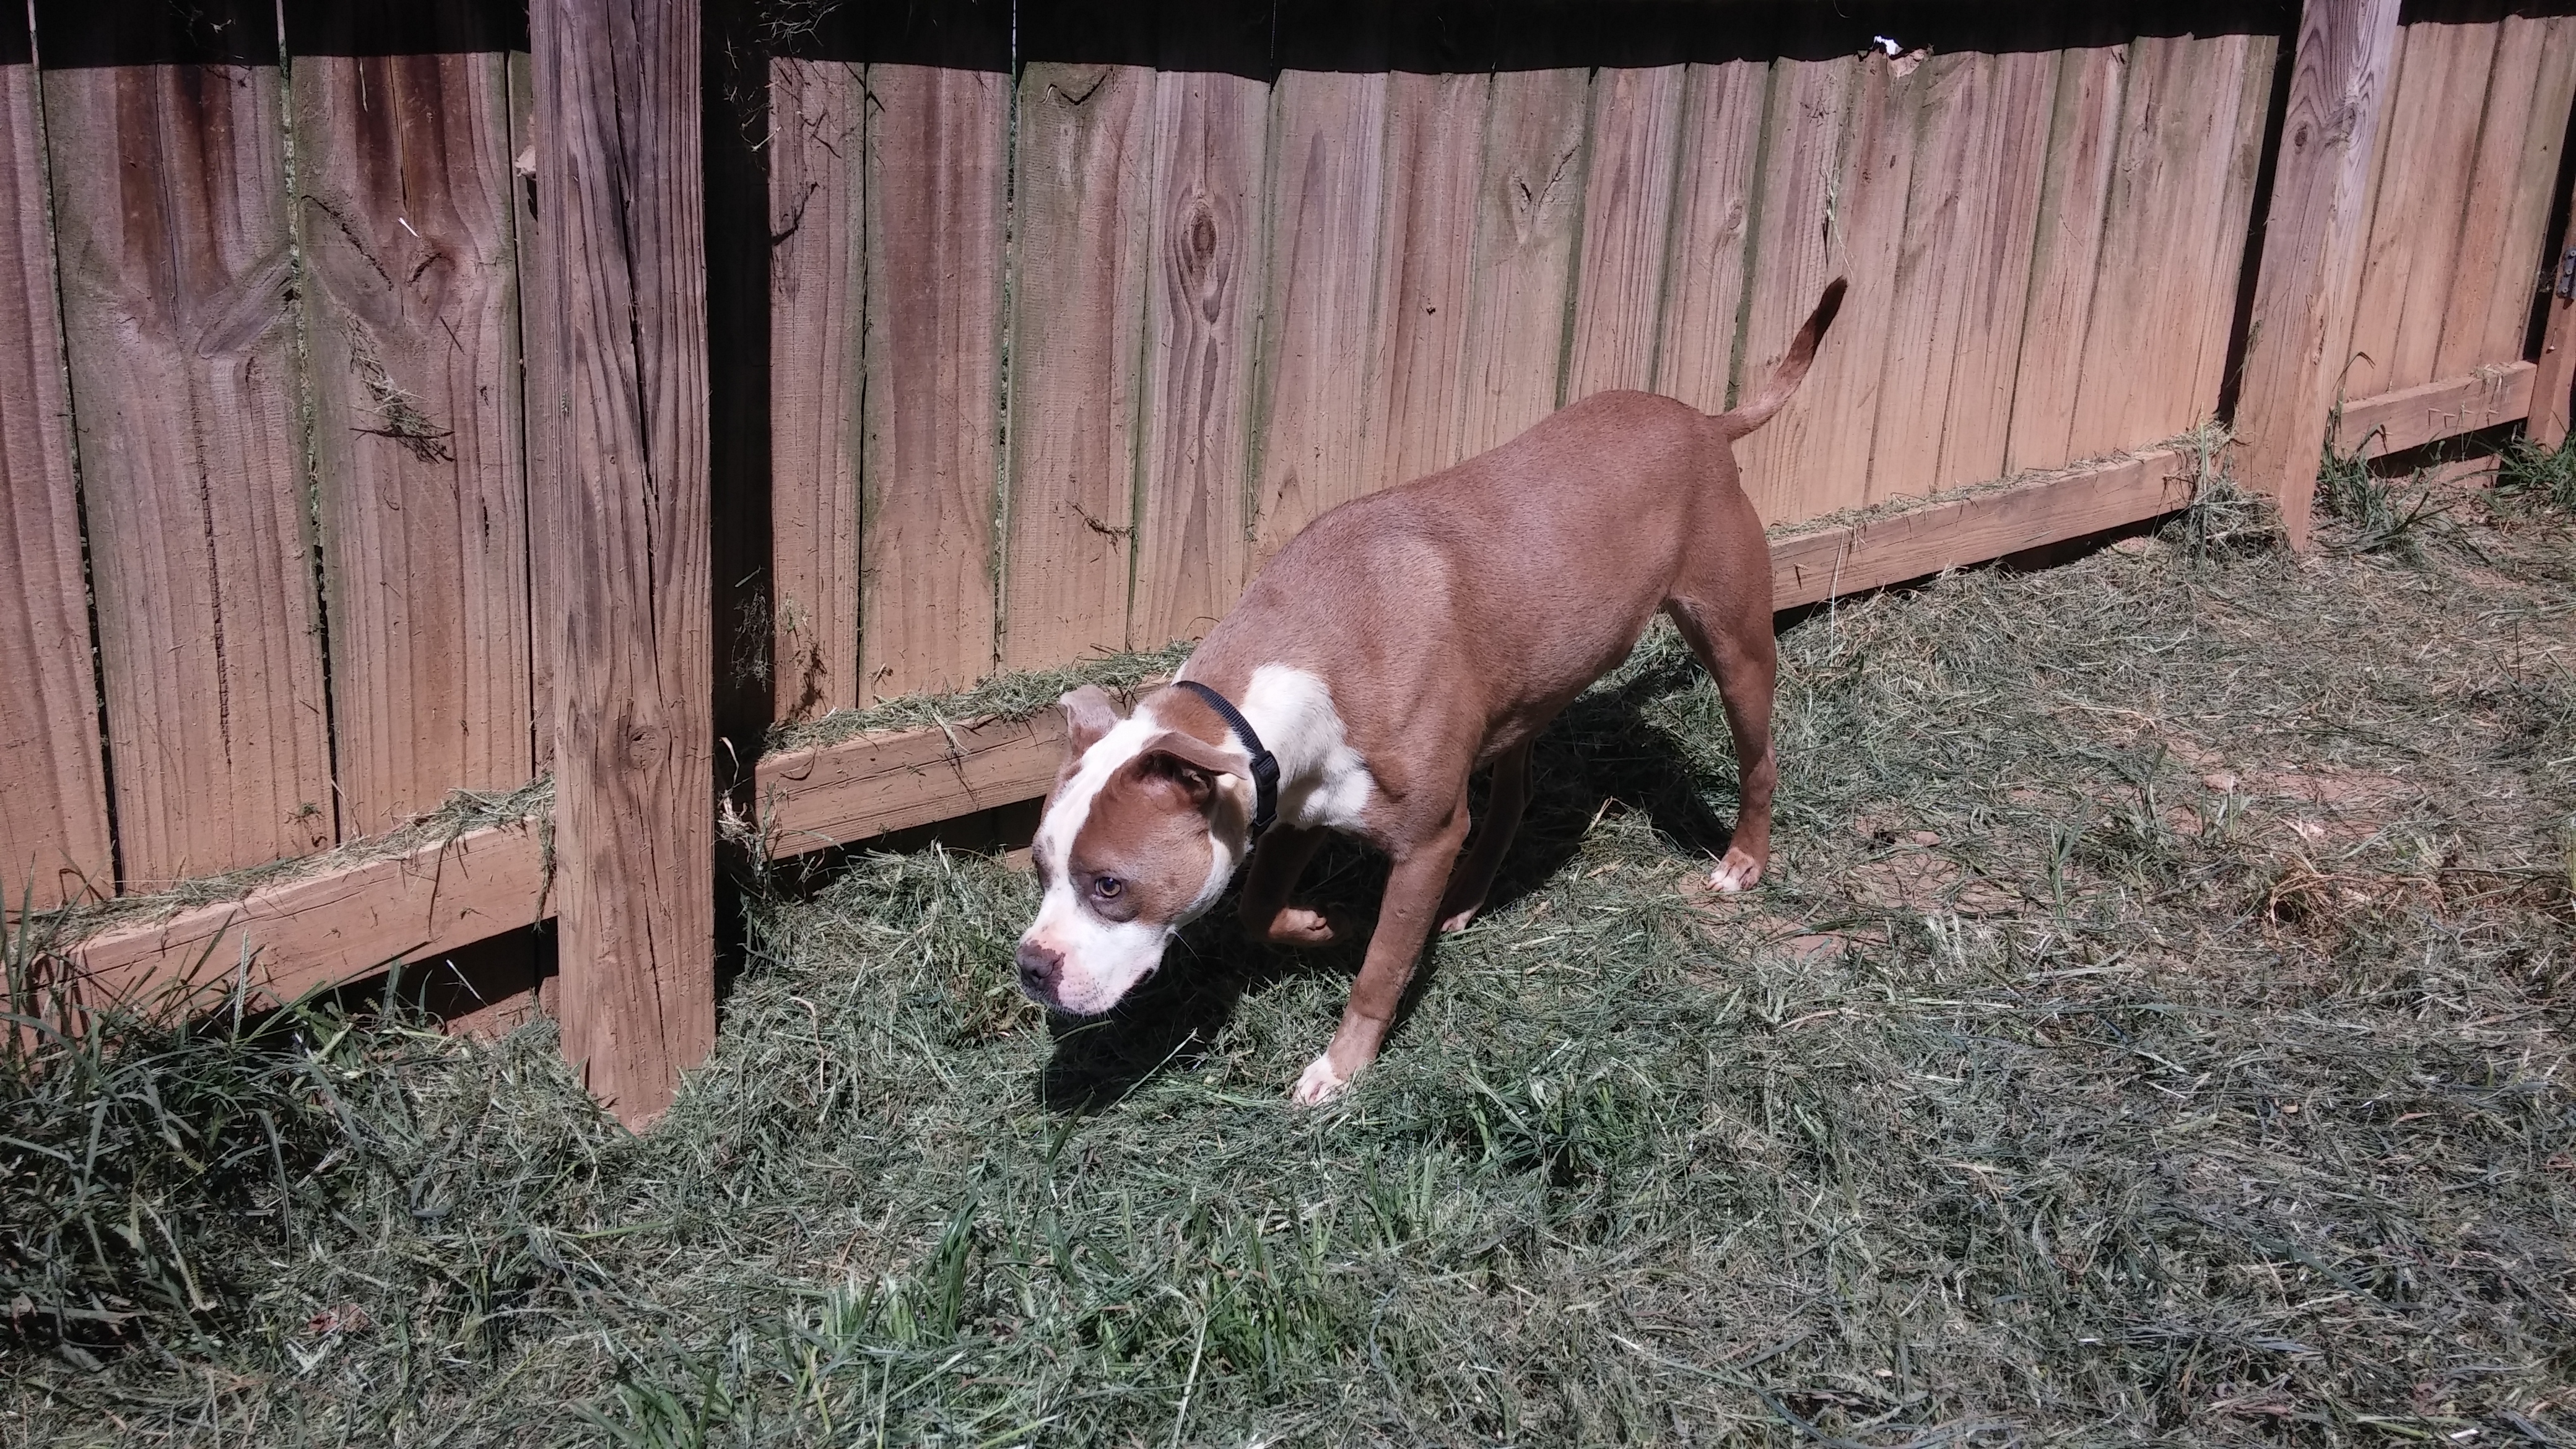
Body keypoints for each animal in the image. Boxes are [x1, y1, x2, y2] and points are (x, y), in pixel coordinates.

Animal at [1015, 276, 1844, 1098]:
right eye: (1039, 868)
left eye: (1109, 885)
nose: (1030, 968)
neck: (1299, 659)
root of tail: (1704, 420)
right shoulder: (1300, 808)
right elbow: (1256, 906)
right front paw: (1322, 927)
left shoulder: (1422, 841)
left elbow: (1380, 970)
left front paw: (1342, 1065)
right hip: (1523, 692)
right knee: (1509, 799)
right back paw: (1467, 897)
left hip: (1734, 644)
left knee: (1759, 758)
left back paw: (1741, 861)